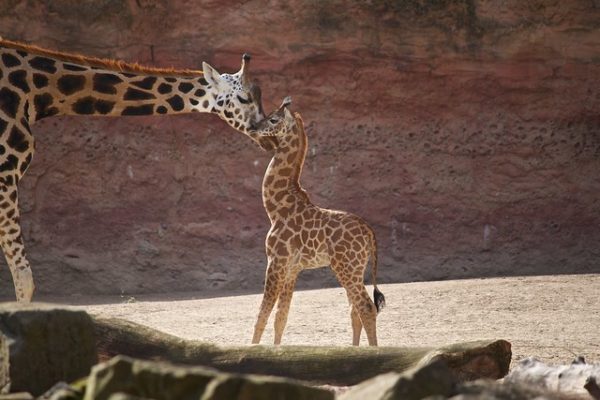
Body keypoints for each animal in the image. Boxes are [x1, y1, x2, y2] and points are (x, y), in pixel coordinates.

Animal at [251, 97, 386, 346]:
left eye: (273, 119)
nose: (254, 127)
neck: (277, 208)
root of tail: (369, 232)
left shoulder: (275, 261)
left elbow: (262, 315)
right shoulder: (292, 268)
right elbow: (281, 317)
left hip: (346, 267)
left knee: (365, 307)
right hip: (356, 268)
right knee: (355, 310)